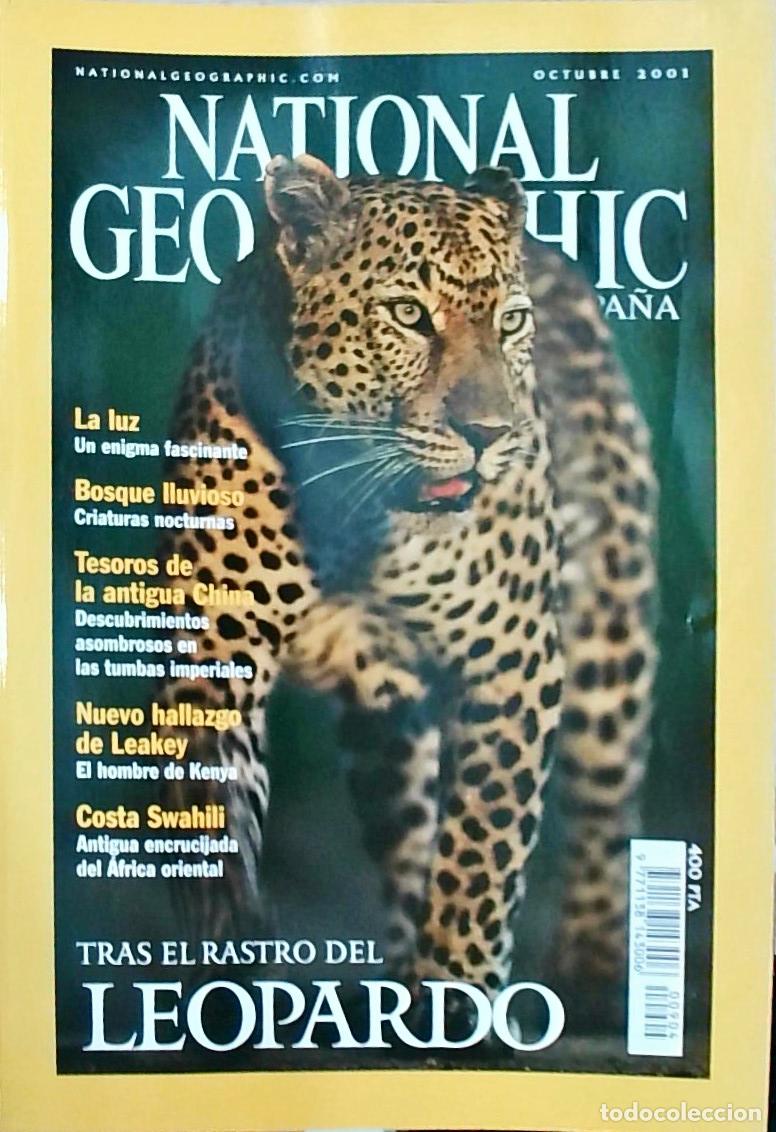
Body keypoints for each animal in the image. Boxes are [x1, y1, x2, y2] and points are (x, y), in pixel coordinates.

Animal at [155, 153, 657, 1011]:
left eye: (509, 324)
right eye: (407, 314)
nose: (491, 435)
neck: (359, 502)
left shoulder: (515, 658)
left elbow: (484, 845)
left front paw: (458, 993)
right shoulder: (210, 658)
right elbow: (209, 828)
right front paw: (227, 968)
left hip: (610, 632)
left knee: (604, 801)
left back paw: (591, 964)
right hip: (385, 720)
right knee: (408, 833)